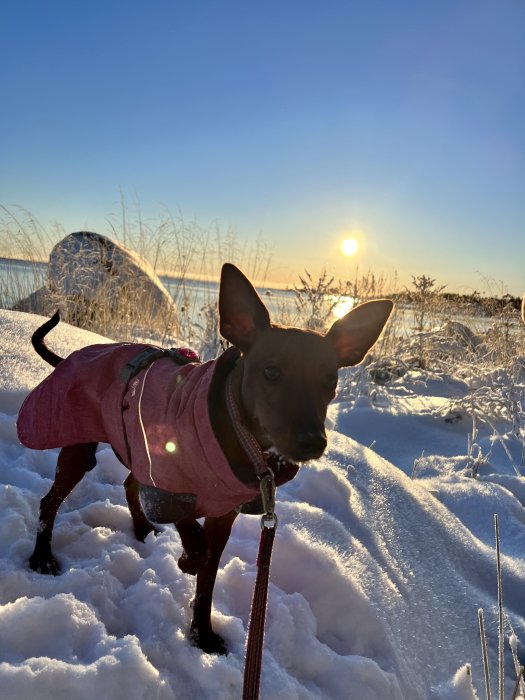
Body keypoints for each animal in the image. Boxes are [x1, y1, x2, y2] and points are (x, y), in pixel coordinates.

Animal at [17, 260, 392, 652]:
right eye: (271, 372)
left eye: (329, 382)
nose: (312, 442)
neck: (243, 438)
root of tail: (71, 357)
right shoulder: (170, 482)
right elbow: (194, 538)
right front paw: (187, 561)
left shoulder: (222, 514)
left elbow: (208, 578)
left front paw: (202, 633)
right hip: (80, 450)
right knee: (50, 502)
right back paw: (42, 557)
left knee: (129, 483)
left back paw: (141, 528)